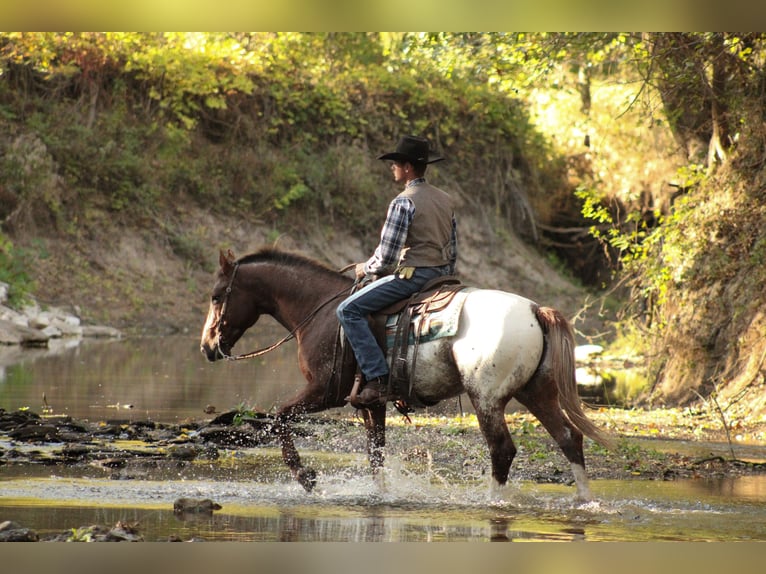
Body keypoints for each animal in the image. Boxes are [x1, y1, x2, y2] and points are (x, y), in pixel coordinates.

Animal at [200, 247, 611, 500]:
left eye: (217, 295)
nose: (207, 347)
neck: (321, 311)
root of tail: (535, 310)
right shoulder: (370, 403)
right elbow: (376, 453)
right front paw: (379, 494)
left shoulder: (324, 392)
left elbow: (281, 417)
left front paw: (307, 478)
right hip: (537, 393)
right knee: (568, 438)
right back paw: (585, 502)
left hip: (487, 398)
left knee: (502, 450)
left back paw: (493, 501)